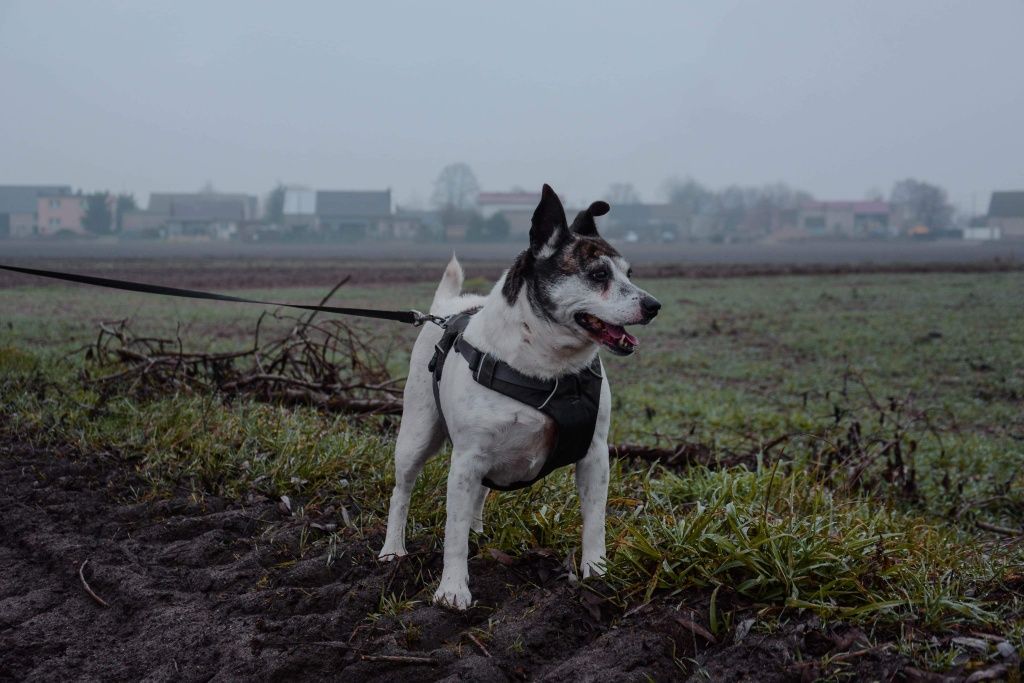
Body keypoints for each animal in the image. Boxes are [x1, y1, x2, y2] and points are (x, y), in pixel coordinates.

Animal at [380, 183, 659, 610]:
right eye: (597, 275)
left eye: (629, 274)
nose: (653, 305)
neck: (548, 368)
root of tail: (445, 309)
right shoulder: (465, 460)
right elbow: (452, 533)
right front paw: (452, 588)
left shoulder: (594, 454)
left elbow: (594, 521)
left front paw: (597, 572)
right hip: (416, 435)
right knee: (402, 492)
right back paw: (393, 550)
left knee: (479, 494)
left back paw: (478, 531)